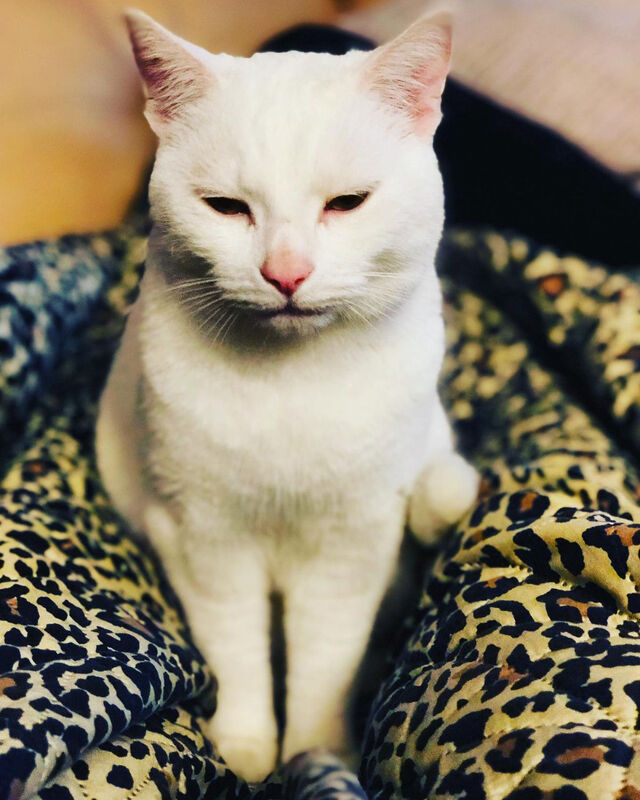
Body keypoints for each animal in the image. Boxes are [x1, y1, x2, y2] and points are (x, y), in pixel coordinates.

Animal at [95, 9, 479, 783]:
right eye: (226, 207)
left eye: (347, 203)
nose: (286, 273)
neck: (290, 383)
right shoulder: (202, 539)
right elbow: (236, 650)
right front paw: (246, 749)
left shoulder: (351, 551)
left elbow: (325, 665)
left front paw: (314, 751)